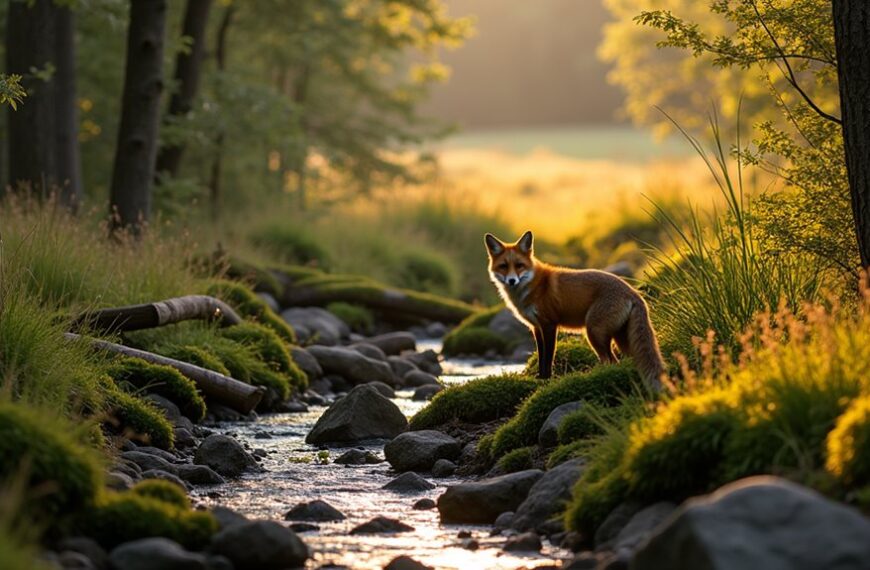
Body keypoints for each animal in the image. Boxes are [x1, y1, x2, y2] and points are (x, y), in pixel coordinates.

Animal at [485, 230, 664, 391]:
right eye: (503, 266)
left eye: (519, 266)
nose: (512, 280)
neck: (533, 286)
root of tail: (634, 293)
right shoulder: (536, 327)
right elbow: (541, 356)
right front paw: (539, 378)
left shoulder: (549, 325)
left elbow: (548, 358)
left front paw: (546, 380)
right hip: (620, 338)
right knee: (624, 361)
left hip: (594, 332)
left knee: (611, 360)